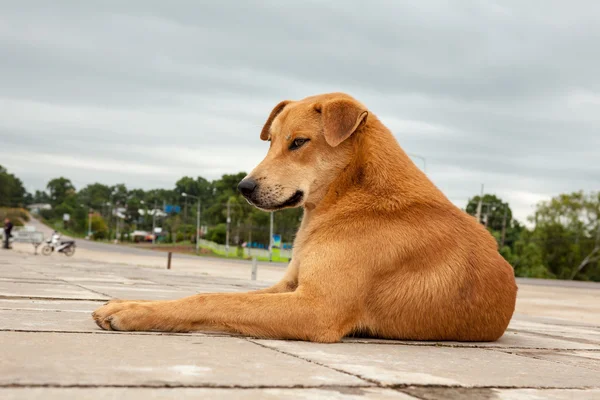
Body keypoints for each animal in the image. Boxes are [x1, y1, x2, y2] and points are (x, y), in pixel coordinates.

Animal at [91, 92, 516, 342]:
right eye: (271, 142)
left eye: (298, 142)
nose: (243, 187)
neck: (350, 196)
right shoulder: (289, 286)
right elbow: (216, 295)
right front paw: (133, 304)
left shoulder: (316, 308)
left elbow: (214, 300)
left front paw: (132, 313)